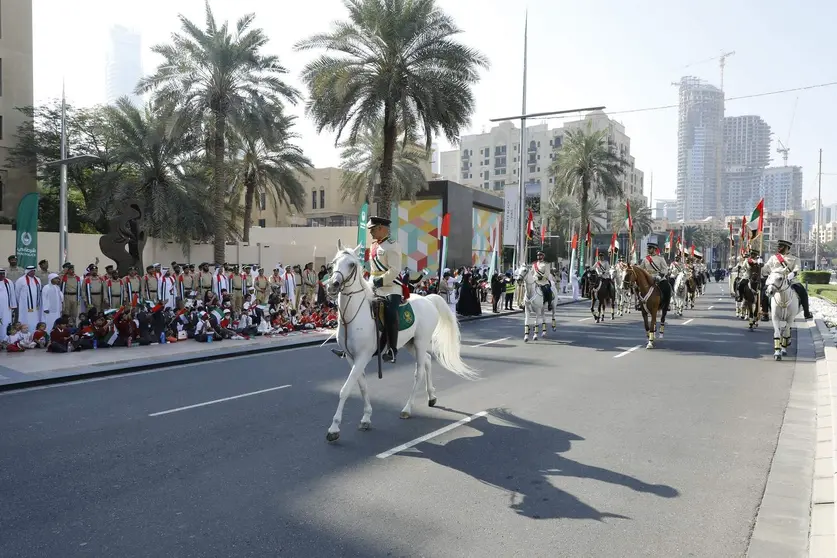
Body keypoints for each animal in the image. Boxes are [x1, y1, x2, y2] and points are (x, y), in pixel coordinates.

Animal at [324, 243, 476, 444]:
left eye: (351, 264)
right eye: (333, 262)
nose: (333, 285)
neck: (354, 316)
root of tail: (428, 299)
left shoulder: (363, 356)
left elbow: (345, 389)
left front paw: (334, 428)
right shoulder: (351, 358)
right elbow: (362, 386)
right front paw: (366, 417)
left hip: (420, 342)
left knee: (419, 372)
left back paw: (407, 408)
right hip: (409, 344)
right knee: (427, 361)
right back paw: (431, 396)